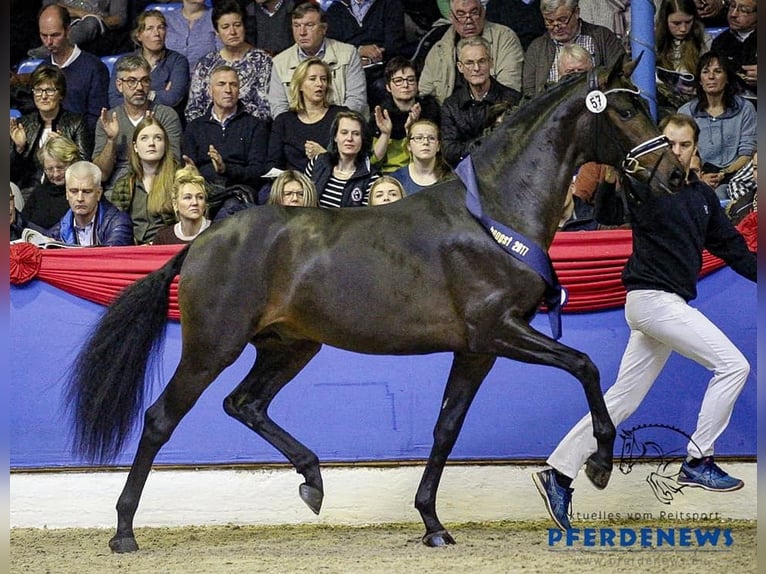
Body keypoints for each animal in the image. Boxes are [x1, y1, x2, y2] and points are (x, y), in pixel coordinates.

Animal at [67, 58, 684, 552]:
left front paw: (433, 523)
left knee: (245, 404)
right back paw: (124, 532)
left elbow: (446, 427)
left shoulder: (477, 349)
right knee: (161, 419)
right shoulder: (499, 331)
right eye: (624, 110)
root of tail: (201, 242)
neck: (494, 216)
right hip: (213, 346)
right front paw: (600, 464)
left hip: (290, 347)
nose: (675, 173)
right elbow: (586, 365)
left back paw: (313, 482)